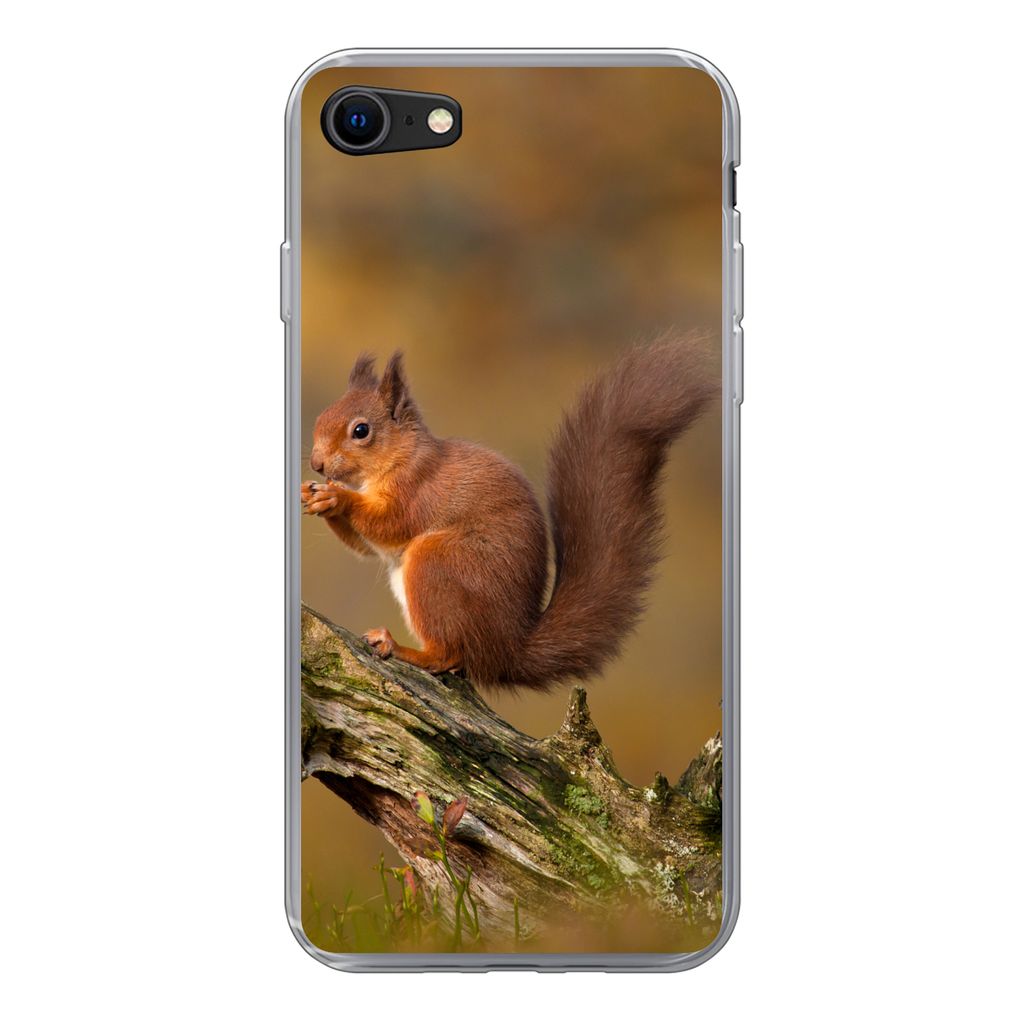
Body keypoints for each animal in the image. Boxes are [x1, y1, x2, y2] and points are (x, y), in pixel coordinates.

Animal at [302, 336, 714, 691]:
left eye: (361, 430)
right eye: (320, 418)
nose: (316, 464)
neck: (398, 458)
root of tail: (507, 650)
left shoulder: (417, 490)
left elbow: (390, 524)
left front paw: (338, 497)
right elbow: (366, 547)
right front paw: (314, 497)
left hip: (438, 564)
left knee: (447, 654)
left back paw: (400, 647)